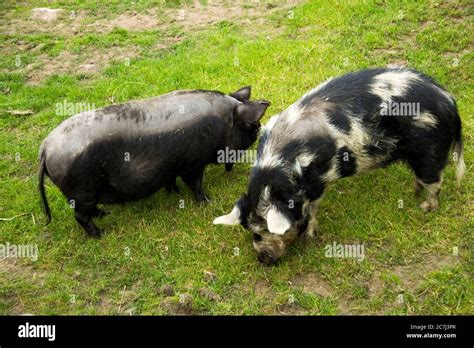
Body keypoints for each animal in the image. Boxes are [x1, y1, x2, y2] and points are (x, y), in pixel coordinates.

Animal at [39, 87, 270, 237]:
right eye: (251, 127)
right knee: (80, 215)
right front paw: (207, 202)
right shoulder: (193, 163)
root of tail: (46, 147)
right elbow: (195, 183)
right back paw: (100, 234)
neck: (222, 122)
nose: (258, 131)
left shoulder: (172, 166)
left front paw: (173, 192)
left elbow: (172, 180)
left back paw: (104, 214)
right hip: (82, 190)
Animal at [216, 67, 466, 264]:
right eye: (253, 232)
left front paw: (310, 235)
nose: (263, 259)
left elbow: (313, 207)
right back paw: (415, 193)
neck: (280, 168)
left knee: (435, 180)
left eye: (265, 230)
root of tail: (450, 103)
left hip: (430, 148)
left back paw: (425, 207)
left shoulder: (319, 179)